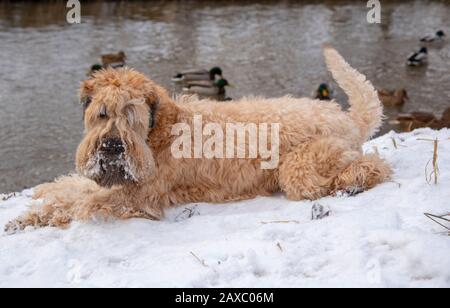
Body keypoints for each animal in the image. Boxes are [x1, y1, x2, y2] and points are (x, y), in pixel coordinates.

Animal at [3, 47, 390, 232]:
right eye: (102, 113)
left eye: (131, 116)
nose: (112, 146)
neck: (158, 132)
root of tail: (347, 117)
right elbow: (71, 188)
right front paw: (37, 203)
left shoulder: (139, 197)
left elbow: (84, 204)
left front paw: (39, 218)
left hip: (301, 167)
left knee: (374, 164)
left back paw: (354, 183)